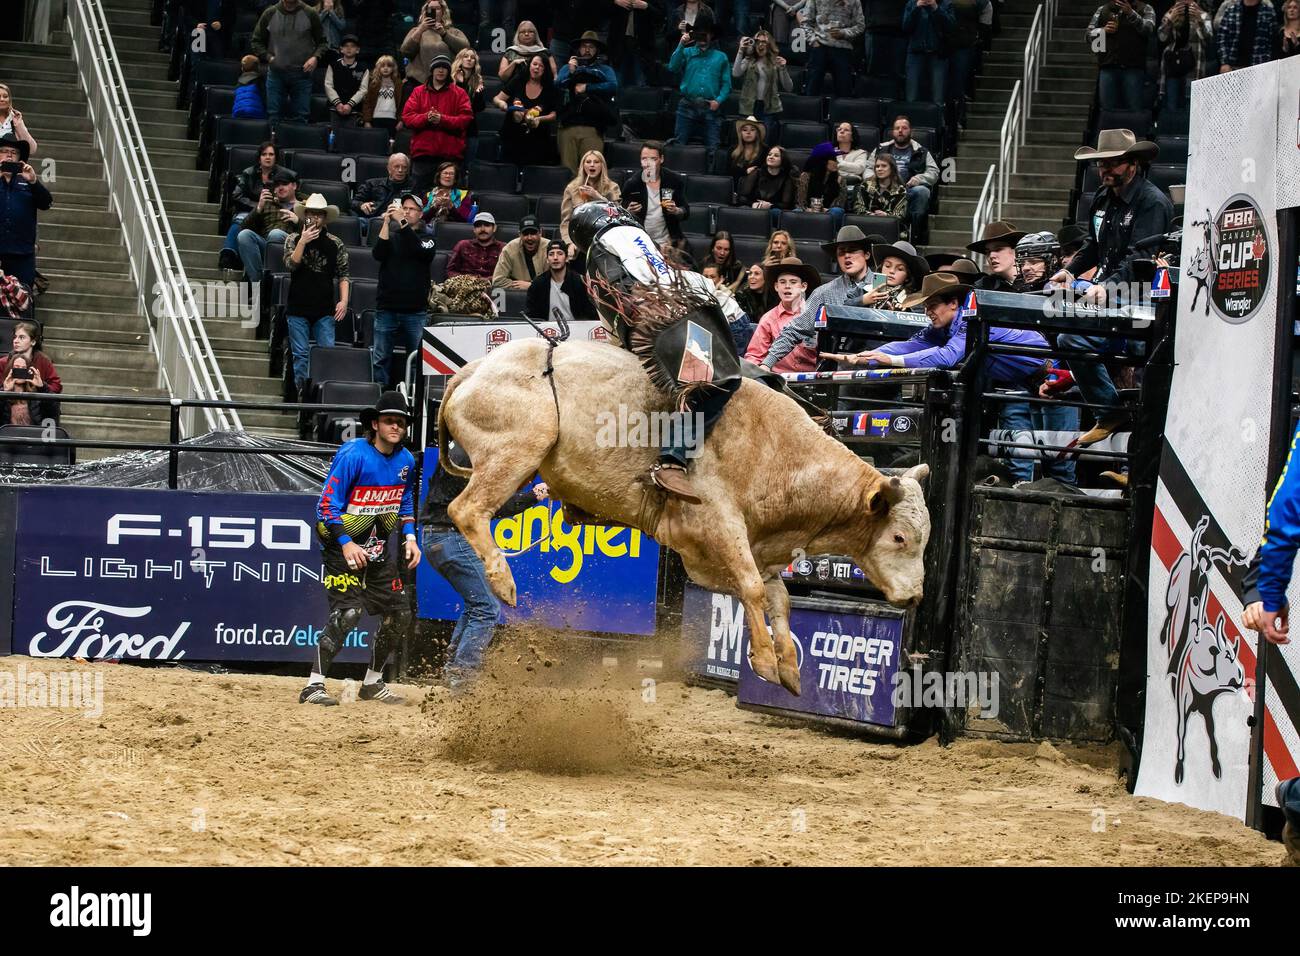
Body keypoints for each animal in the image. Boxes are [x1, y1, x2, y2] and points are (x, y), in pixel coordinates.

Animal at [439, 201, 935, 697]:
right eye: (899, 537)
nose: (915, 597)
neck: (780, 455)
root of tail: (470, 371)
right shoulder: (718, 525)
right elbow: (755, 589)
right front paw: (764, 661)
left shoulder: (733, 550)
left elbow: (778, 598)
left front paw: (790, 670)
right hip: (516, 450)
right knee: (466, 509)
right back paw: (503, 583)